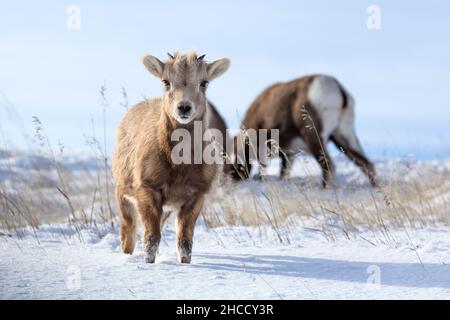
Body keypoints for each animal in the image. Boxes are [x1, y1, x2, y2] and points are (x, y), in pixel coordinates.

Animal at [112, 51, 230, 264]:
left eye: (204, 82)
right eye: (166, 81)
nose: (183, 107)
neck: (178, 168)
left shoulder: (196, 196)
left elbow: (184, 241)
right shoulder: (147, 189)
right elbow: (151, 238)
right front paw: (149, 263)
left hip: (166, 208)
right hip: (123, 193)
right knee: (129, 231)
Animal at [230, 74, 378, 188]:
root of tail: (339, 90)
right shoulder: (289, 155)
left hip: (314, 137)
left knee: (328, 165)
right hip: (344, 136)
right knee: (366, 163)